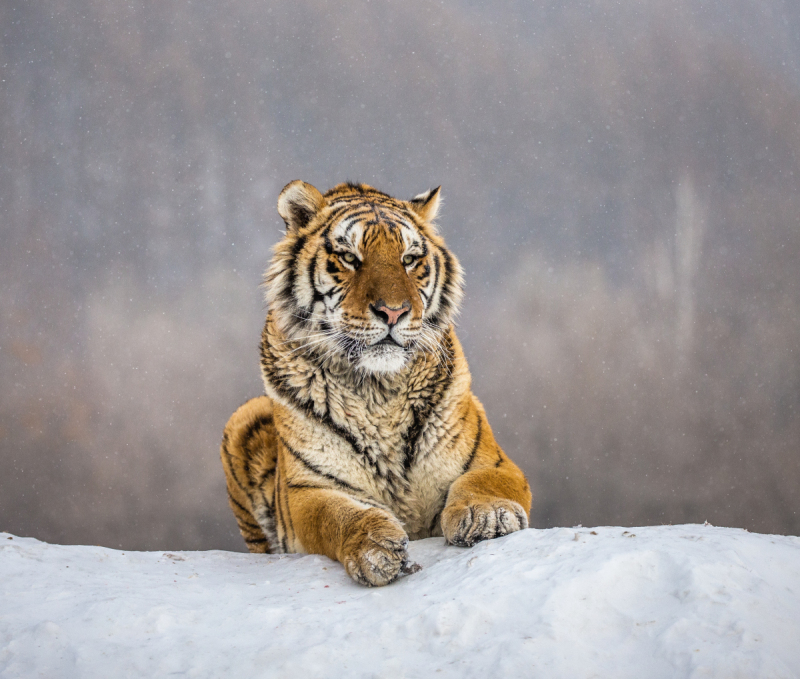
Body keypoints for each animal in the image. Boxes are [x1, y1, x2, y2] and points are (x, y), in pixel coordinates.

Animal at [220, 181, 532, 584]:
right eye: (349, 258)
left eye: (409, 259)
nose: (394, 312)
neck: (377, 391)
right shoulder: (306, 490)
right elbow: (337, 516)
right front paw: (376, 548)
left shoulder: (493, 462)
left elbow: (482, 483)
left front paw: (488, 516)